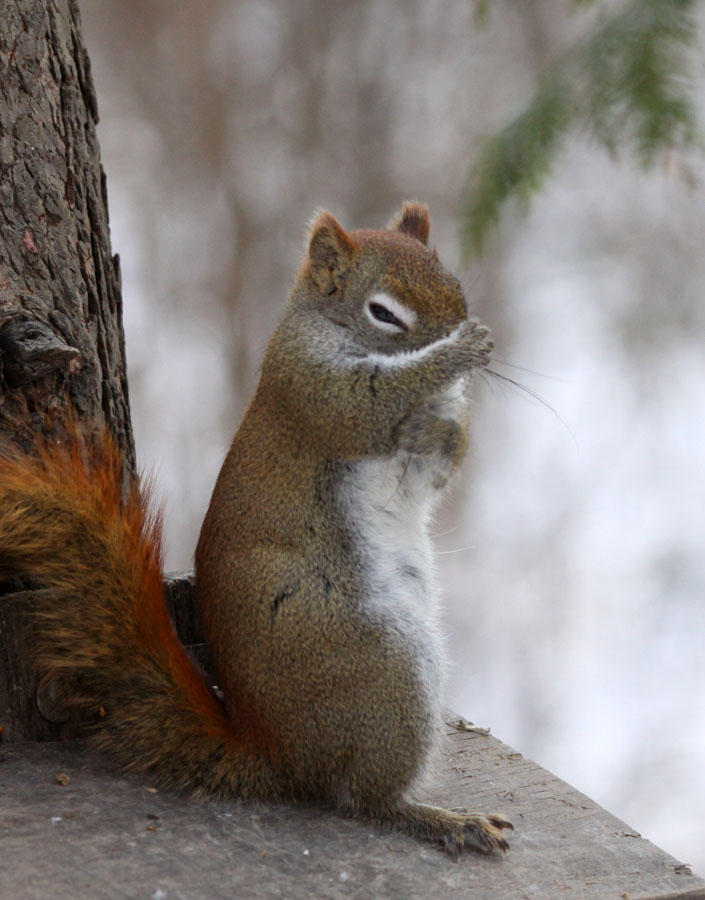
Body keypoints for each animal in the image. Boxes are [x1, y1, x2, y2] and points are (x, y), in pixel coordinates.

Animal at [0, 206, 512, 856]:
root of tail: (277, 753)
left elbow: (442, 461)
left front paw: (449, 422)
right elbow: (368, 401)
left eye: (456, 288)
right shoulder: (309, 387)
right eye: (383, 313)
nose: (467, 334)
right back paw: (440, 819)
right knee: (360, 797)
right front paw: (460, 351)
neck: (321, 326)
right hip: (380, 664)